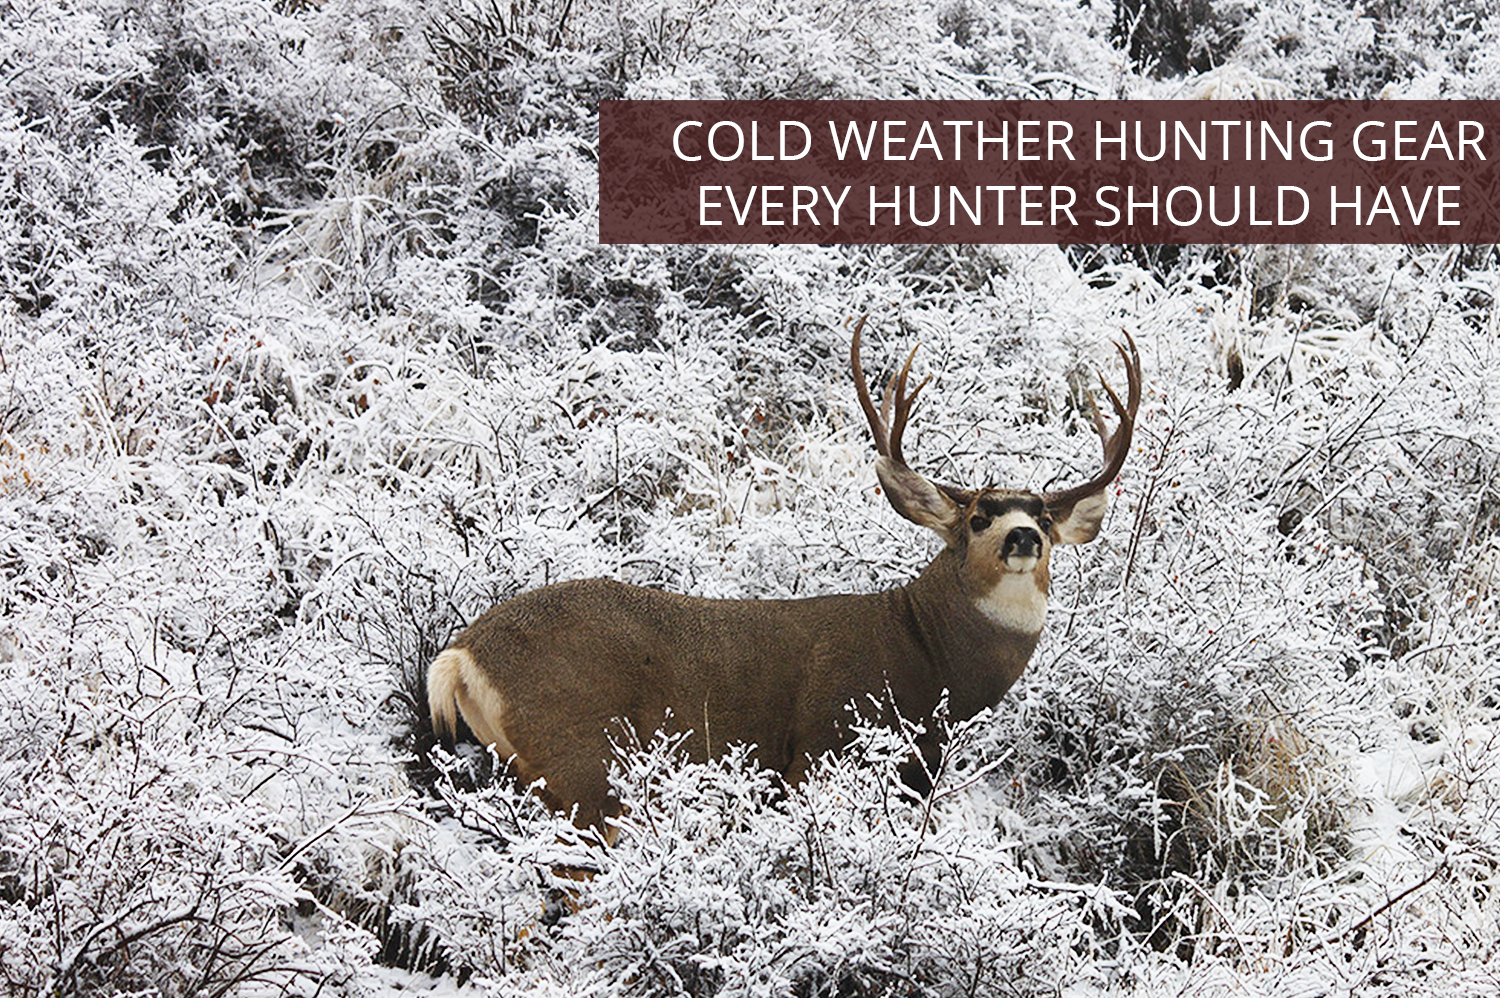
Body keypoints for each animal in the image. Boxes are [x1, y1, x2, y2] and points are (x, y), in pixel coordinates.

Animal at [429, 315, 1140, 828]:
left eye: (1044, 516)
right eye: (977, 517)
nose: (1023, 536)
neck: (927, 655)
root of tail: (460, 655)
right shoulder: (820, 746)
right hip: (582, 757)